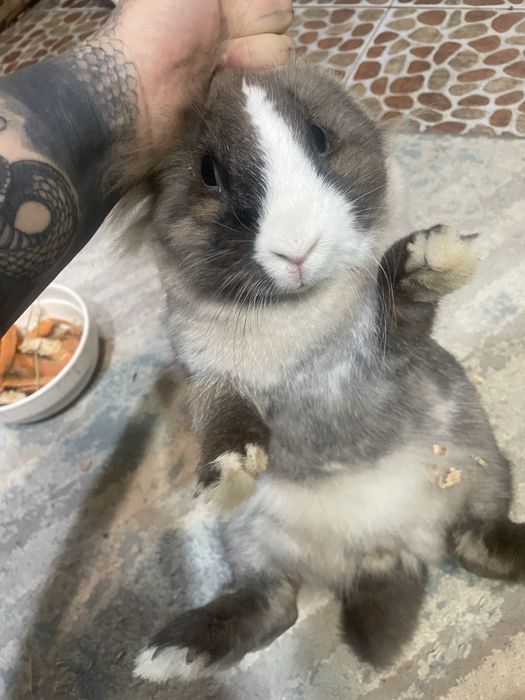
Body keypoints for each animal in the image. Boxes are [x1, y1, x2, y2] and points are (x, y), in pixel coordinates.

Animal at [129, 64, 524, 683]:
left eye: (318, 137)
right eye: (208, 172)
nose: (297, 249)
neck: (296, 317)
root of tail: (383, 549)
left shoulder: (387, 351)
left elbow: (399, 308)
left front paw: (436, 257)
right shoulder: (210, 379)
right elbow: (225, 419)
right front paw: (230, 470)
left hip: (482, 466)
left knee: (478, 539)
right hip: (250, 538)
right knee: (273, 603)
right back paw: (172, 653)